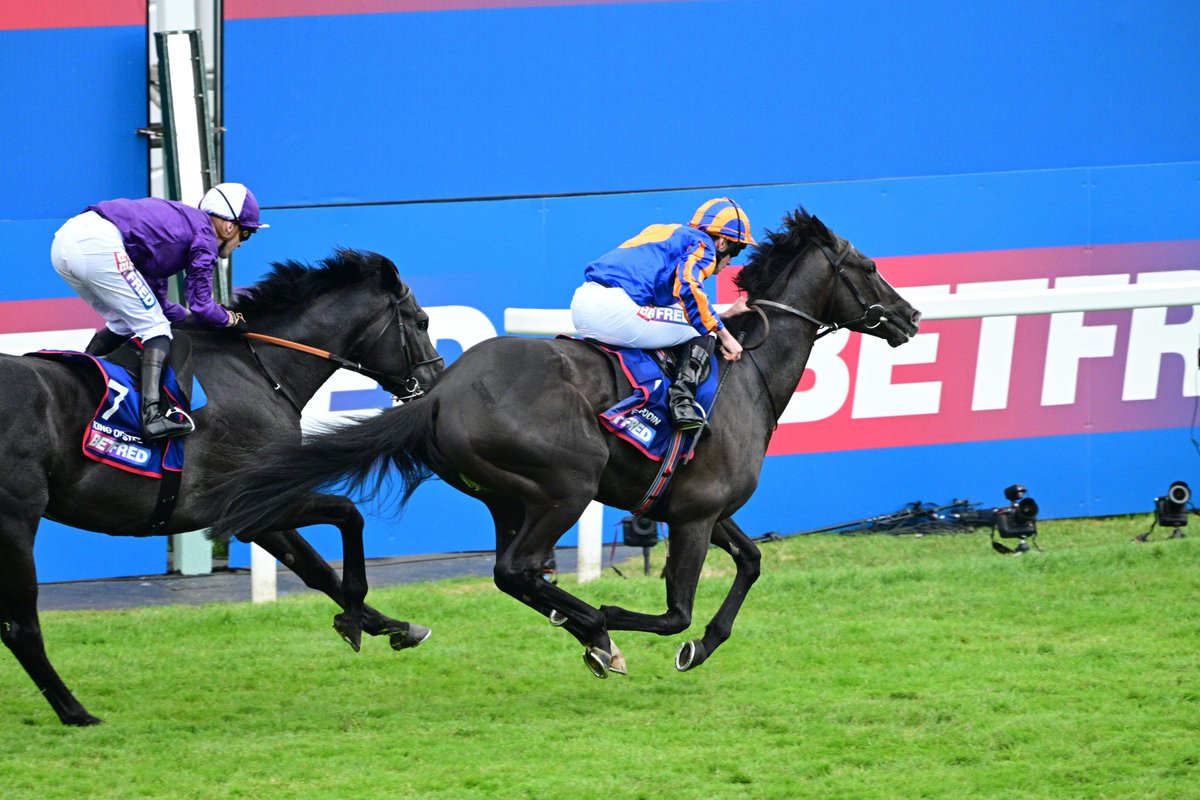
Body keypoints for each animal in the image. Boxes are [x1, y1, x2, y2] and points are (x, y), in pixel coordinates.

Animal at [0, 248, 441, 724]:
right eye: (421, 322)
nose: (436, 383)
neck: (261, 369)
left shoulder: (254, 509)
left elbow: (317, 570)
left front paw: (393, 626)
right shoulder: (247, 500)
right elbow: (348, 517)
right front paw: (356, 621)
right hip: (16, 520)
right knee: (21, 627)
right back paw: (76, 712)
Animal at [211, 206, 916, 676]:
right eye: (869, 267)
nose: (910, 316)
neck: (752, 376)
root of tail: (439, 393)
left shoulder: (704, 508)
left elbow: (750, 562)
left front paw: (698, 648)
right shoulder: (694, 514)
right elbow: (676, 611)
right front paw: (614, 617)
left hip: (506, 497)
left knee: (514, 574)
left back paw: (581, 631)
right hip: (566, 486)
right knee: (517, 569)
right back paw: (593, 631)